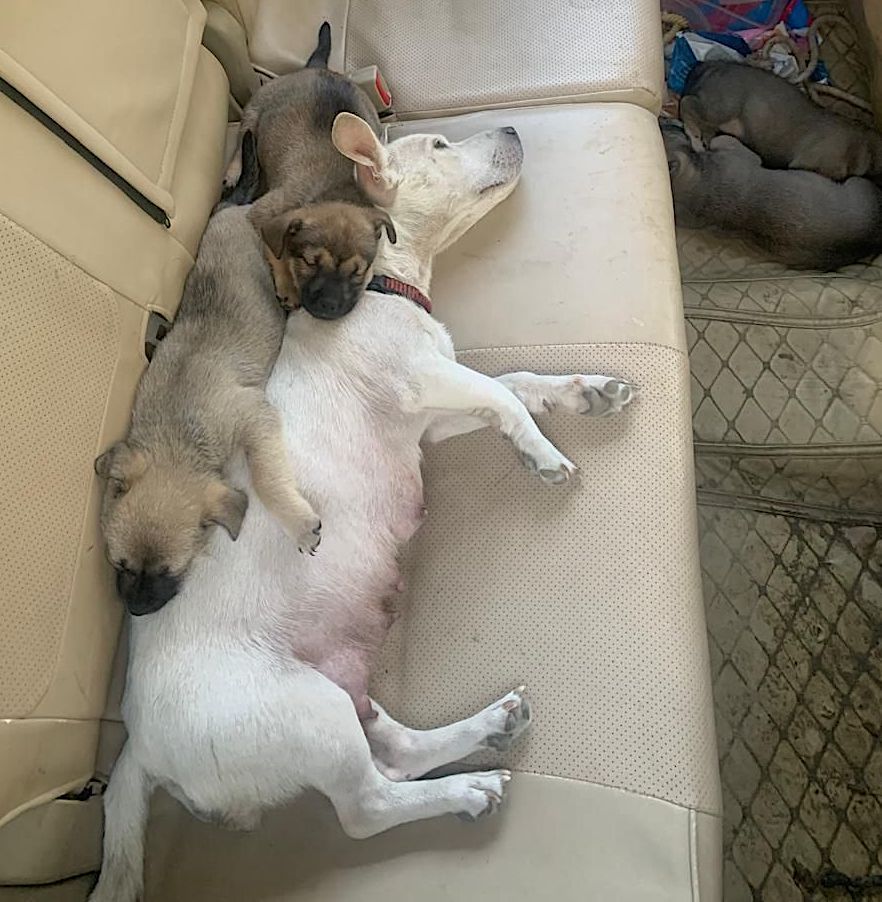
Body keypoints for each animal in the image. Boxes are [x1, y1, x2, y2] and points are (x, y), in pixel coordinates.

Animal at [94, 134, 323, 616]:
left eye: (170, 571)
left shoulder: (255, 417)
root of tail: (233, 210)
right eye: (120, 565)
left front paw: (298, 523)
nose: (136, 610)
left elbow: (267, 482)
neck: (178, 435)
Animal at [226, 22, 391, 317]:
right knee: (242, 139)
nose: (329, 307)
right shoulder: (260, 216)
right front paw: (288, 288)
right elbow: (277, 251)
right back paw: (233, 171)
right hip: (254, 111)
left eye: (358, 272)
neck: (335, 191)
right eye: (310, 262)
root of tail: (315, 67)